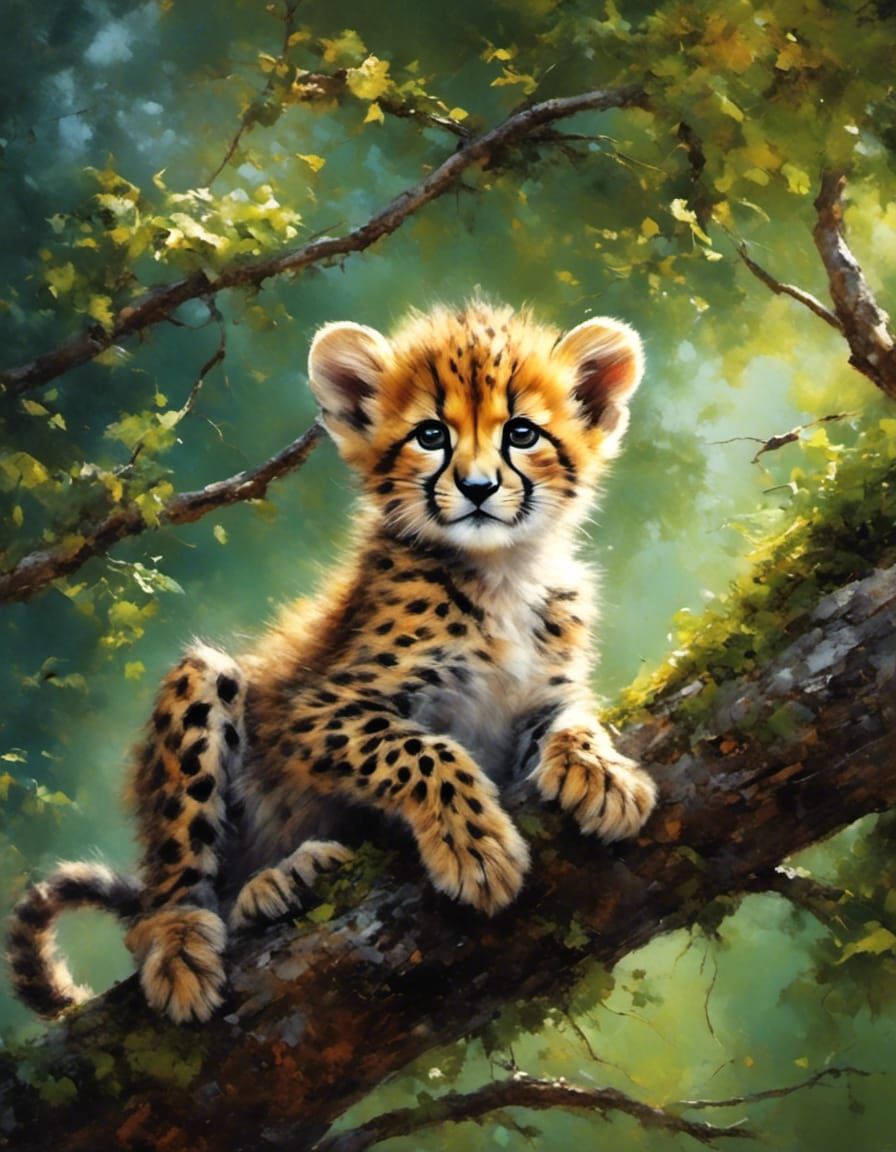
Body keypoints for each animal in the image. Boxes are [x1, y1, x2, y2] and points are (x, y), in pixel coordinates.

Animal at [7, 298, 657, 1025]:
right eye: (431, 435)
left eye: (522, 433)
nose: (479, 487)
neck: (504, 572)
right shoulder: (315, 709)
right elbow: (423, 751)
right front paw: (474, 846)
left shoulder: (539, 701)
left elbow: (572, 719)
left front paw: (604, 773)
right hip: (203, 683)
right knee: (172, 884)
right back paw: (193, 934)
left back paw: (292, 875)